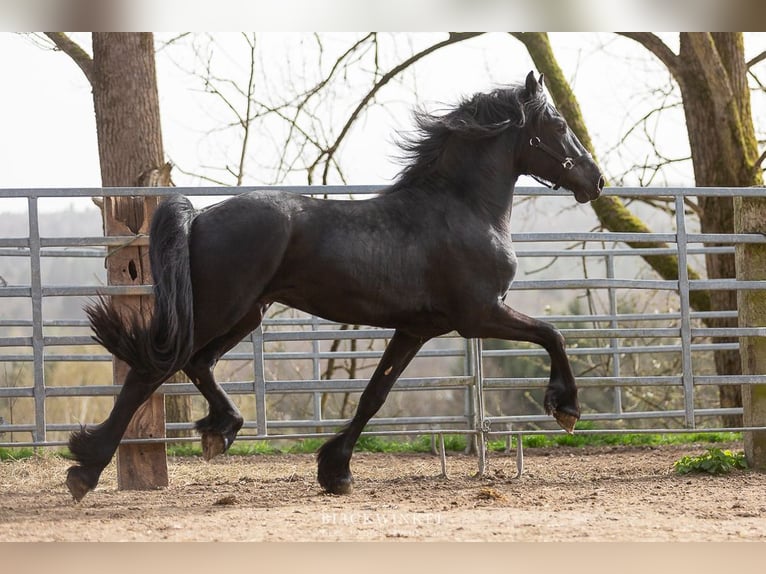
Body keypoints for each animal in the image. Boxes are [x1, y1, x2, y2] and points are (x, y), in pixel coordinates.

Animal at [66, 71, 604, 501]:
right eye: (558, 127)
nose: (595, 181)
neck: (461, 210)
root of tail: (199, 217)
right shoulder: (479, 315)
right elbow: (553, 333)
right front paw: (566, 408)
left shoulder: (417, 329)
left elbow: (374, 396)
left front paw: (336, 470)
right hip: (221, 308)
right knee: (152, 371)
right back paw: (85, 469)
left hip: (246, 312)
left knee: (197, 363)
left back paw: (221, 431)